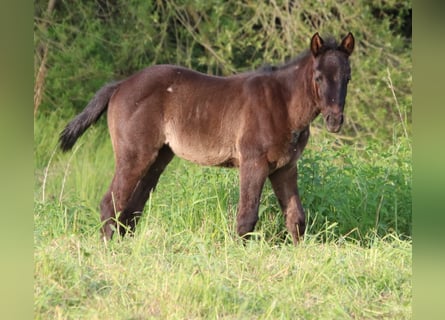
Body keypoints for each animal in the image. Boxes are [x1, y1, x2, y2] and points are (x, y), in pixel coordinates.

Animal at [59, 31, 354, 245]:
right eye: (318, 77)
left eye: (347, 77)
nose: (334, 120)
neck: (282, 104)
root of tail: (120, 85)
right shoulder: (253, 162)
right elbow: (247, 217)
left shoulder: (285, 167)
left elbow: (296, 218)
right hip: (134, 155)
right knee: (111, 203)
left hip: (158, 158)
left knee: (131, 209)